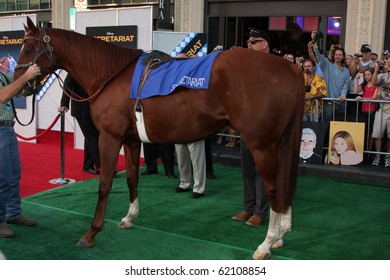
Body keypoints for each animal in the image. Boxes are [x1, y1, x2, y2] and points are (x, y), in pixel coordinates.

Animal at [14, 17, 304, 258]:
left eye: (28, 48)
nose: (20, 86)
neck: (111, 75)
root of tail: (289, 67)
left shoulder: (109, 137)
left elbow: (105, 183)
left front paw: (92, 232)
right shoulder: (131, 140)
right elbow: (131, 178)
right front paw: (129, 218)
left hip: (261, 145)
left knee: (274, 187)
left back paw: (266, 243)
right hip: (278, 143)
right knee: (285, 182)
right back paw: (281, 235)